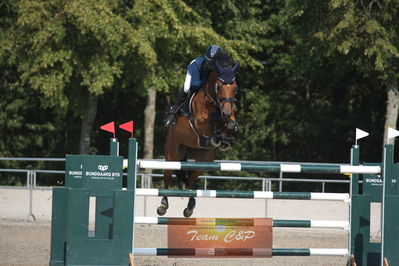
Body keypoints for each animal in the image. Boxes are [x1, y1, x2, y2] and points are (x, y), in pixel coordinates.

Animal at [159, 51, 241, 217]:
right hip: (172, 154)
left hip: (203, 160)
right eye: (219, 87)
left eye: (235, 88)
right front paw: (217, 135)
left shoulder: (229, 116)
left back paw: (190, 207)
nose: (226, 112)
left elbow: (230, 124)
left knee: (191, 180)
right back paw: (163, 205)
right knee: (168, 177)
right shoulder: (200, 122)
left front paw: (223, 138)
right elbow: (213, 119)